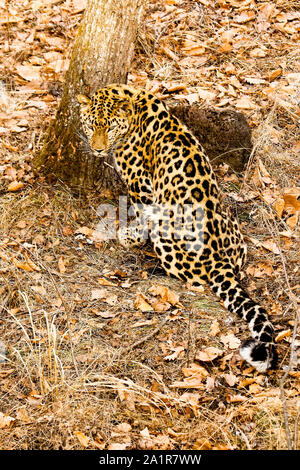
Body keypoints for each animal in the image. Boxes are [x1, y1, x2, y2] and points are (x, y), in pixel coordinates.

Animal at [77, 83, 276, 370]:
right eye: (92, 126)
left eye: (110, 127)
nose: (99, 150)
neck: (132, 102)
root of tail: (220, 260)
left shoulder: (142, 186)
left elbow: (141, 217)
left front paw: (129, 236)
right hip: (235, 233)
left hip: (167, 229)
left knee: (187, 274)